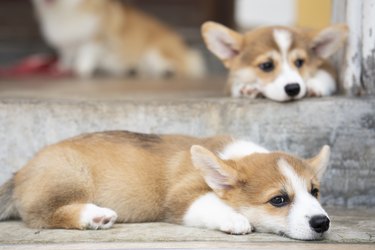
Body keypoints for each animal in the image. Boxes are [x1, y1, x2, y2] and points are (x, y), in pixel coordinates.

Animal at [0, 131, 332, 240]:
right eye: (278, 200)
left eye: (314, 192)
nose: (322, 223)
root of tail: (20, 173)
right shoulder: (181, 199)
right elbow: (210, 204)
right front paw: (235, 220)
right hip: (71, 177)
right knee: (41, 215)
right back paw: (94, 216)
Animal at [32, 0, 207, 78]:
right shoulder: (66, 46)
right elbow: (66, 55)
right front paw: (61, 67)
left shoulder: (97, 38)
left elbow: (85, 53)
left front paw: (80, 70)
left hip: (155, 51)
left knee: (178, 66)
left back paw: (166, 71)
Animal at [203, 21, 350, 101]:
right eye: (267, 65)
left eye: (299, 62)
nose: (293, 88)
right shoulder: (231, 81)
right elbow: (236, 85)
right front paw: (249, 88)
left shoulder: (328, 66)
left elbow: (325, 75)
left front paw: (314, 85)